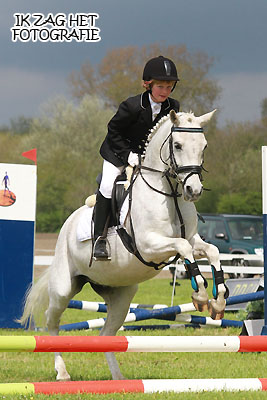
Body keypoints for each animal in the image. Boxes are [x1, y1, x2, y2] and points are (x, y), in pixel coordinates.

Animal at [20, 108, 228, 382]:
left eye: (204, 146)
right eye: (177, 145)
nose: (193, 190)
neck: (169, 193)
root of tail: (68, 223)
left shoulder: (193, 240)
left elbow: (211, 251)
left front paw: (218, 302)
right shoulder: (149, 245)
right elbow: (183, 247)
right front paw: (201, 296)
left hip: (120, 295)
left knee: (106, 334)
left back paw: (119, 379)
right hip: (65, 288)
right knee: (52, 322)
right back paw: (62, 373)